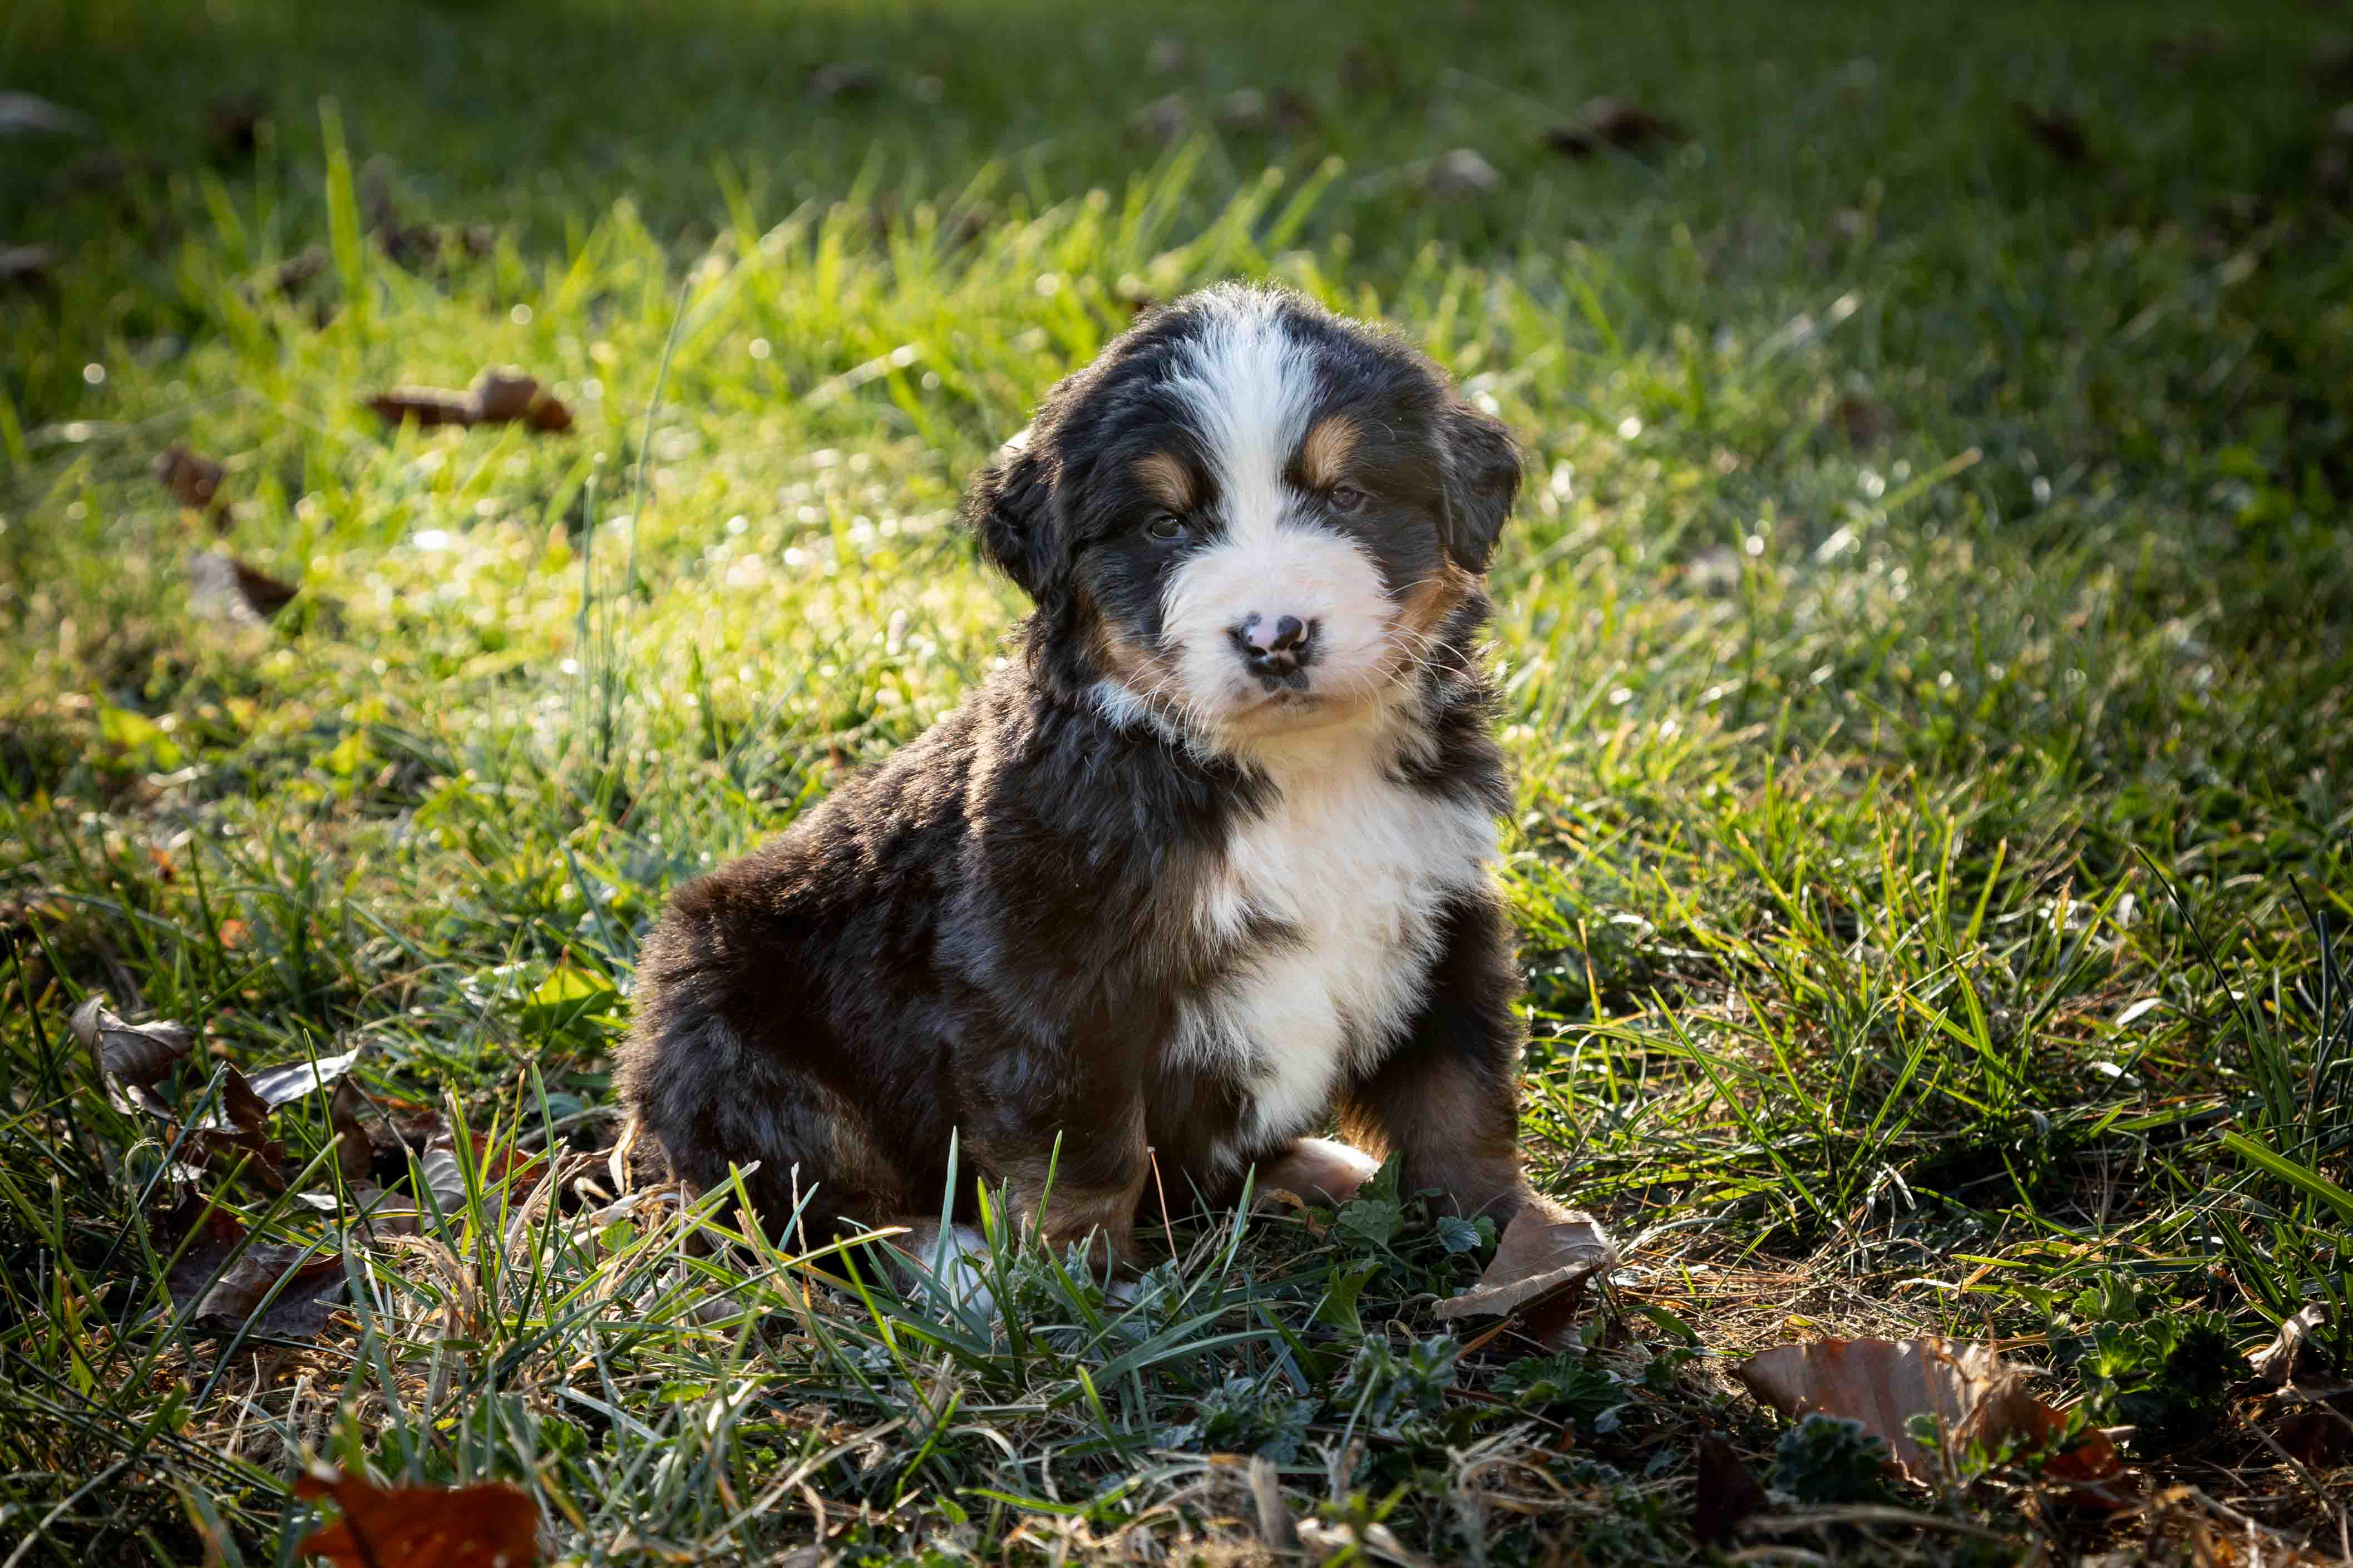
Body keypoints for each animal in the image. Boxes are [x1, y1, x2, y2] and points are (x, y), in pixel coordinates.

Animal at [625, 282, 1534, 1288]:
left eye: (1347, 496)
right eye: (1165, 525)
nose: (1275, 636)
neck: (1294, 771)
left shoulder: (1439, 905)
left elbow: (1458, 1094)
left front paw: (1513, 1233)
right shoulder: (1052, 969)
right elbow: (1083, 1148)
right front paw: (1081, 1287)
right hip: (722, 1017)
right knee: (809, 1199)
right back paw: (958, 1270)